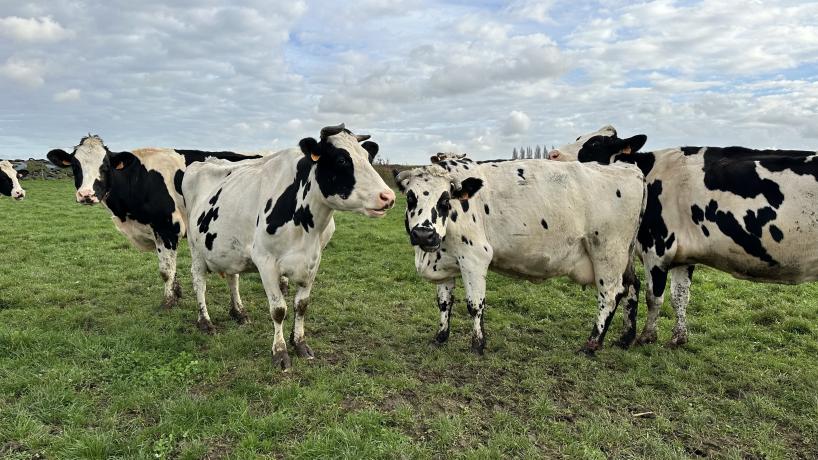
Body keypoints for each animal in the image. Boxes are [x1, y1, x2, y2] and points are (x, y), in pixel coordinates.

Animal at [47, 135, 265, 309]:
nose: (86, 195)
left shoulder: (167, 228)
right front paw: (176, 294)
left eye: (105, 166)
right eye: (75, 166)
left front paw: (168, 302)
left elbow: (166, 271)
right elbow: (171, 268)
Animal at [182, 124, 395, 370]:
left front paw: (300, 344)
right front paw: (280, 352)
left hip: (228, 248)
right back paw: (205, 322)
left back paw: (239, 312)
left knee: (232, 278)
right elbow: (278, 310)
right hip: (195, 247)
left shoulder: (314, 260)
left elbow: (301, 305)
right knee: (199, 282)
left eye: (368, 157)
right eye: (341, 160)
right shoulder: (265, 261)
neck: (307, 228)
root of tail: (205, 161)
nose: (387, 196)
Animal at [393, 153, 646, 354]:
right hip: (625, 255)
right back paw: (625, 338)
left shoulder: (474, 257)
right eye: (410, 197)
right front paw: (440, 337)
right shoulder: (444, 263)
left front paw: (478, 344)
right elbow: (445, 303)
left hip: (608, 252)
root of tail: (629, 168)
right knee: (632, 285)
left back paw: (591, 344)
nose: (424, 234)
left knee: (610, 294)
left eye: (445, 200)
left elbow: (475, 304)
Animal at [549, 125, 818, 346]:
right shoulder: (684, 255)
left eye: (594, 144)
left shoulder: (657, 247)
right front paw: (678, 338)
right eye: (579, 137)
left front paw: (647, 336)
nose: (553, 155)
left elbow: (653, 297)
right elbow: (680, 296)